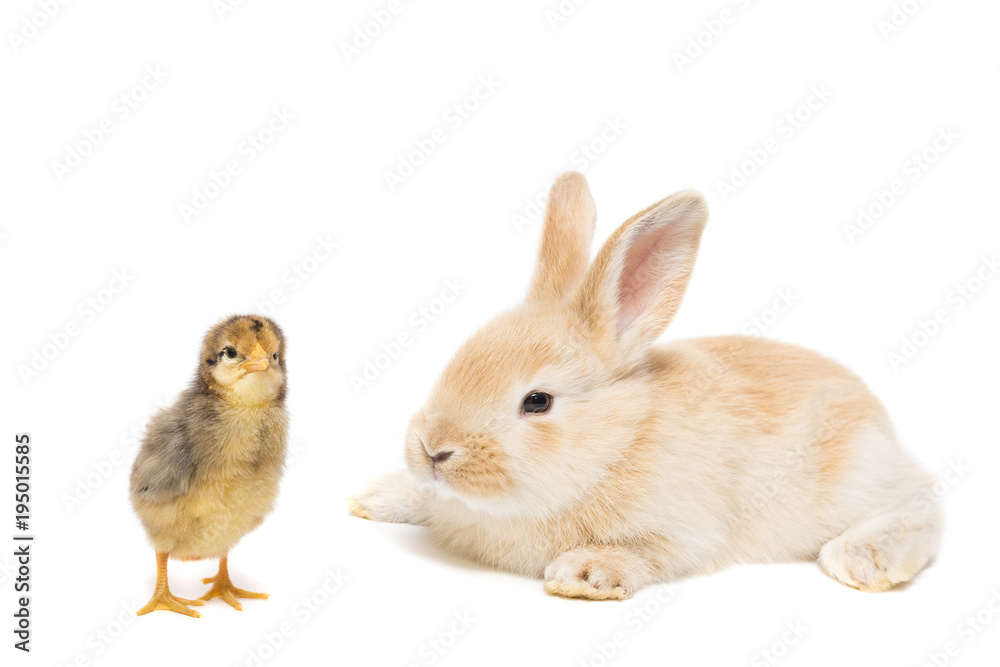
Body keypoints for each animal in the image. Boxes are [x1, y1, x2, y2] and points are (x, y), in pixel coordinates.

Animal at [349, 172, 942, 600]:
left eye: (538, 401)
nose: (431, 450)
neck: (616, 443)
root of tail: (881, 423)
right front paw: (376, 497)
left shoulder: (687, 531)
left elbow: (655, 553)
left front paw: (584, 572)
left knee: (923, 505)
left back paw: (863, 559)